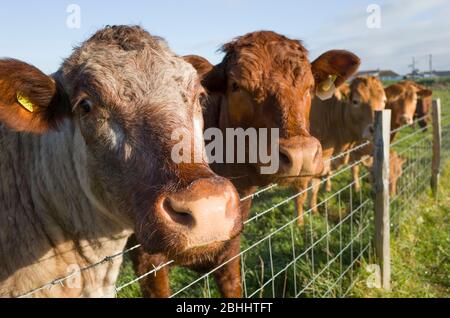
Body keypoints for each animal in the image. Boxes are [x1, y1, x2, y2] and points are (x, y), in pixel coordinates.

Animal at [292, 76, 386, 224]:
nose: (375, 129)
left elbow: (314, 188)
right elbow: (300, 196)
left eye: (384, 101)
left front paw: (314, 211)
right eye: (355, 101)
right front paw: (299, 224)